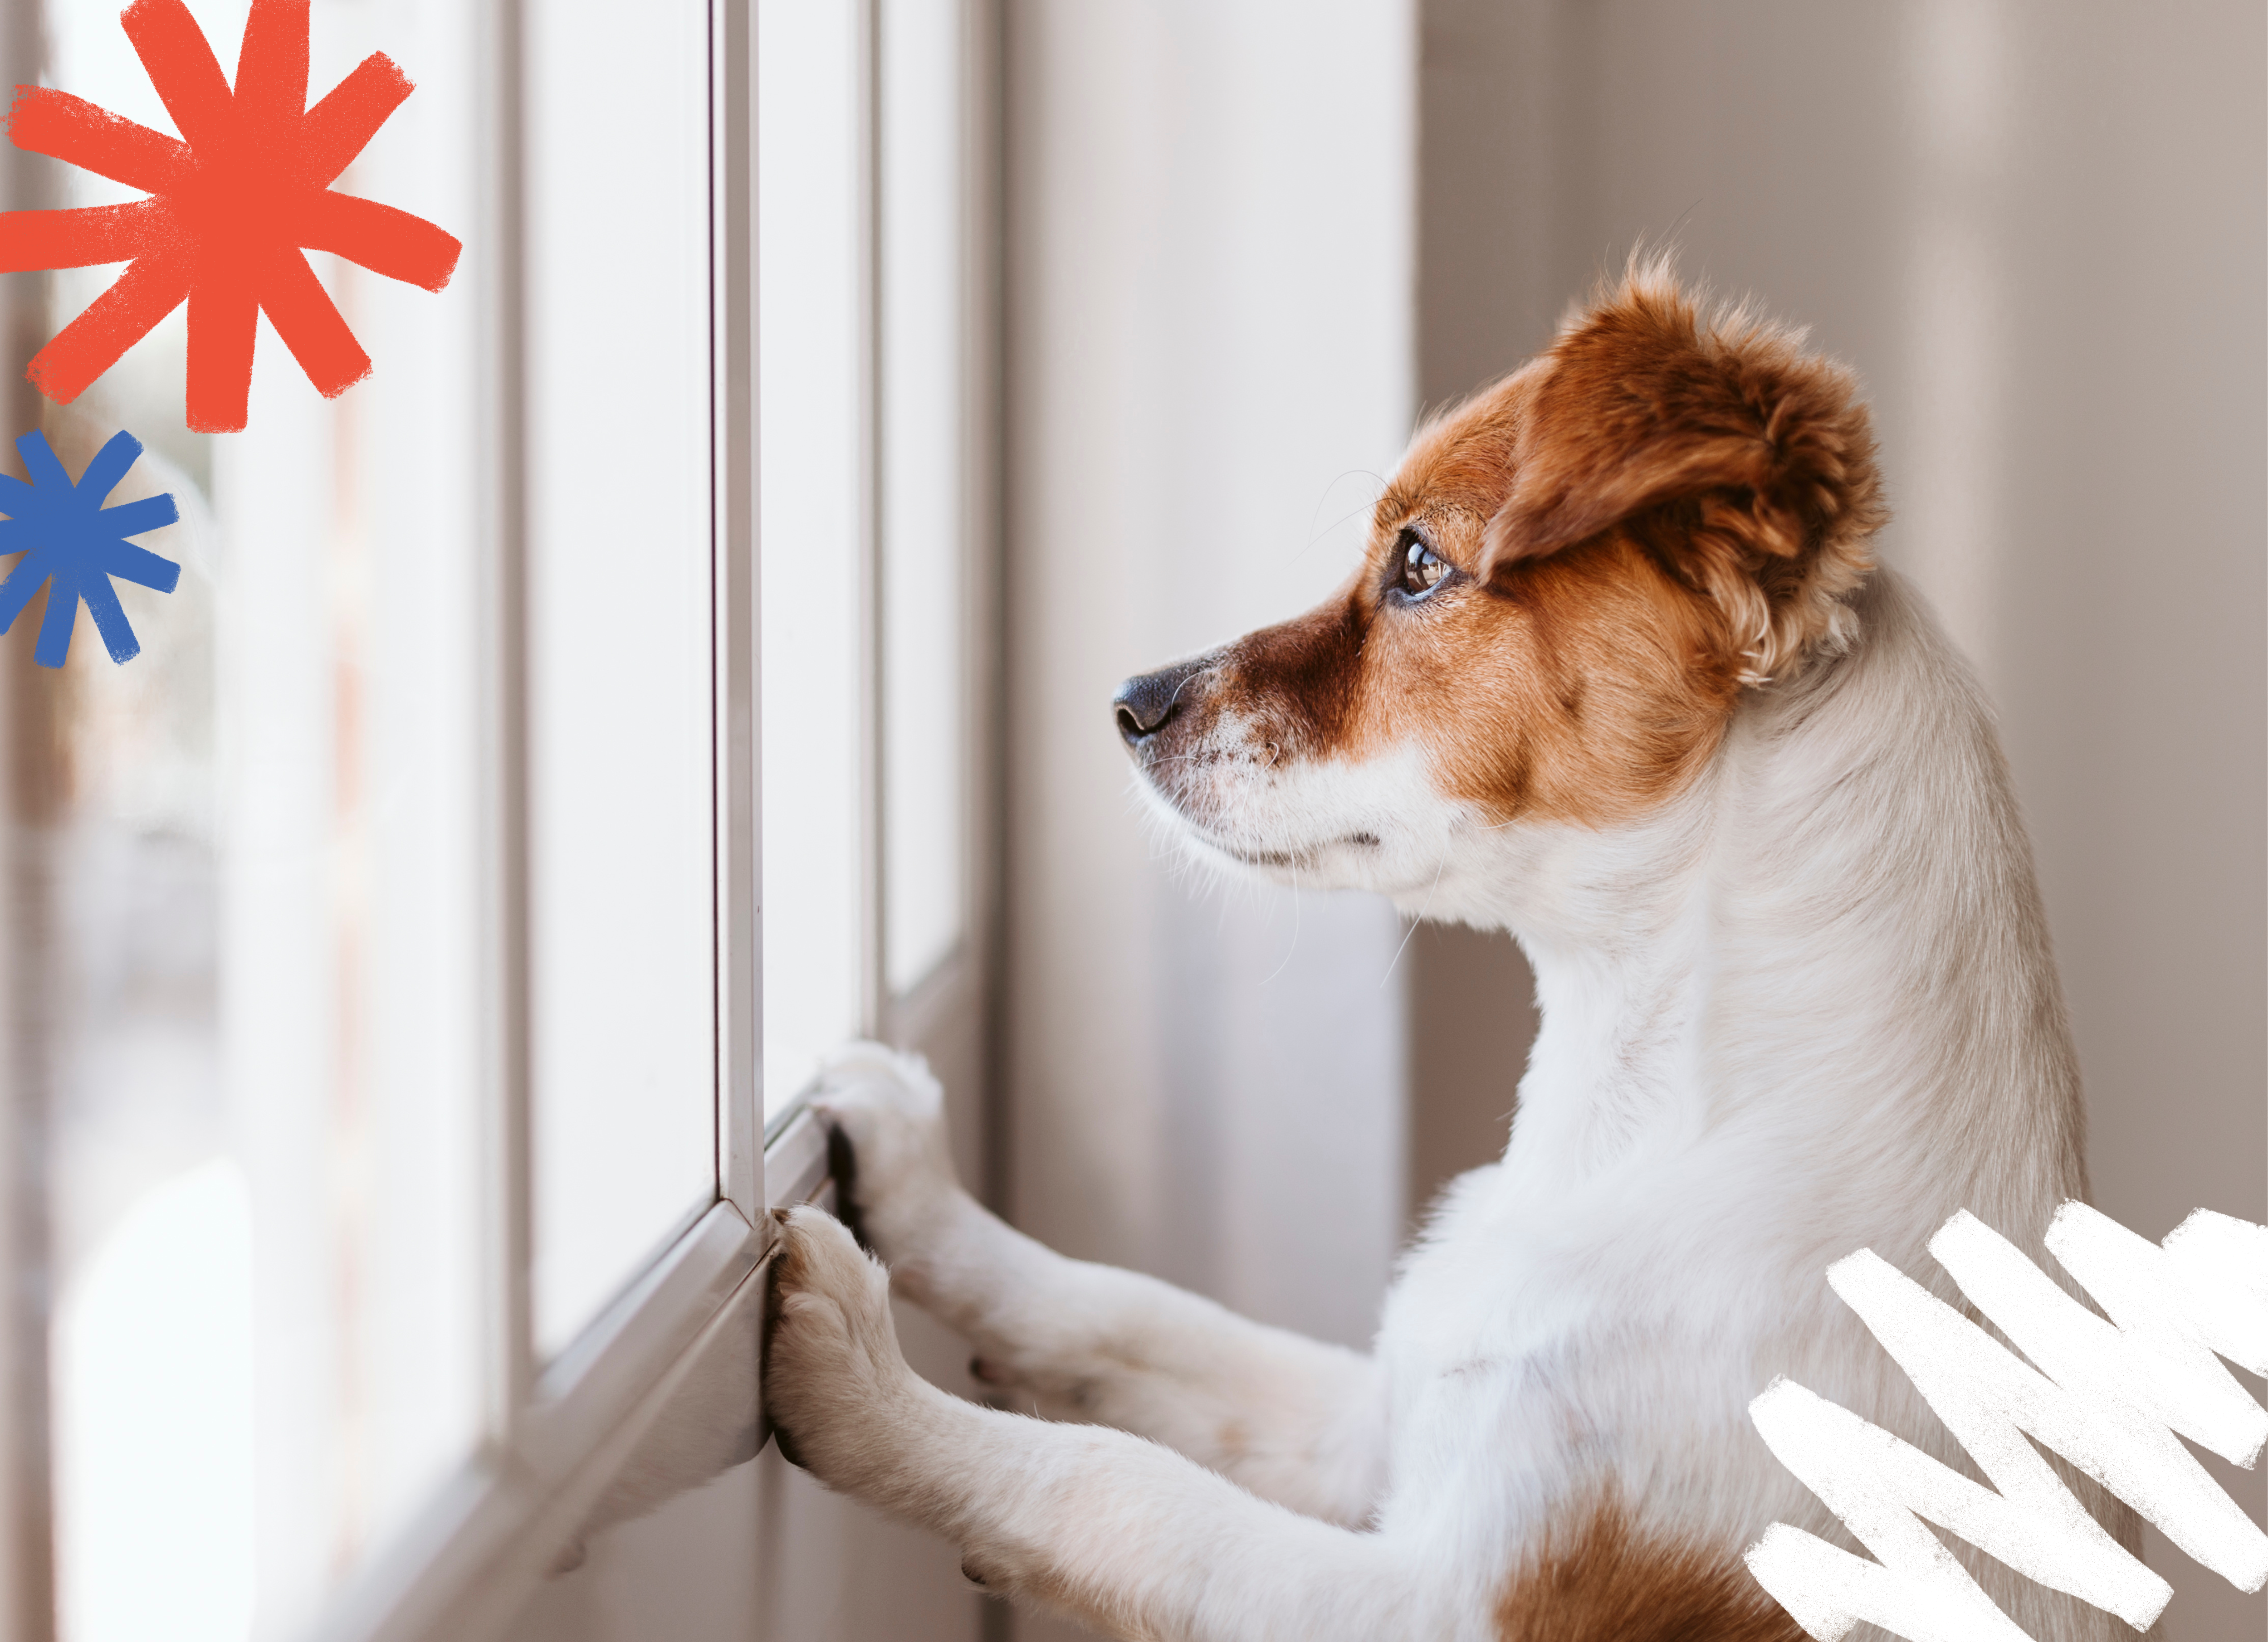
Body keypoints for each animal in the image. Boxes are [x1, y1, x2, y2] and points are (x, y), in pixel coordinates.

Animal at [753, 266, 2132, 1642]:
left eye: (1419, 564)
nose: (1128, 702)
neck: (1643, 1119)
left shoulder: (1445, 1600)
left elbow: (1120, 1488)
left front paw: (868, 1386)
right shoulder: (1391, 1417)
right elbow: (1131, 1310)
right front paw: (919, 1186)